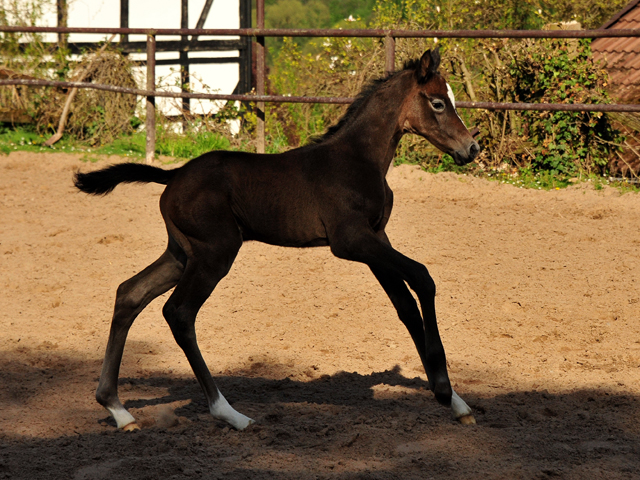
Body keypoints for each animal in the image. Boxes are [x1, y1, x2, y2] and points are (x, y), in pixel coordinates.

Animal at [75, 49, 480, 432]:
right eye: (438, 102)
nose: (471, 149)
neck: (358, 158)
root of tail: (173, 175)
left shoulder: (376, 237)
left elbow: (405, 307)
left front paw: (455, 402)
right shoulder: (352, 241)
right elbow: (423, 278)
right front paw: (444, 390)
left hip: (181, 254)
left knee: (130, 293)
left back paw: (118, 410)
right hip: (214, 254)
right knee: (179, 313)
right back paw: (231, 414)